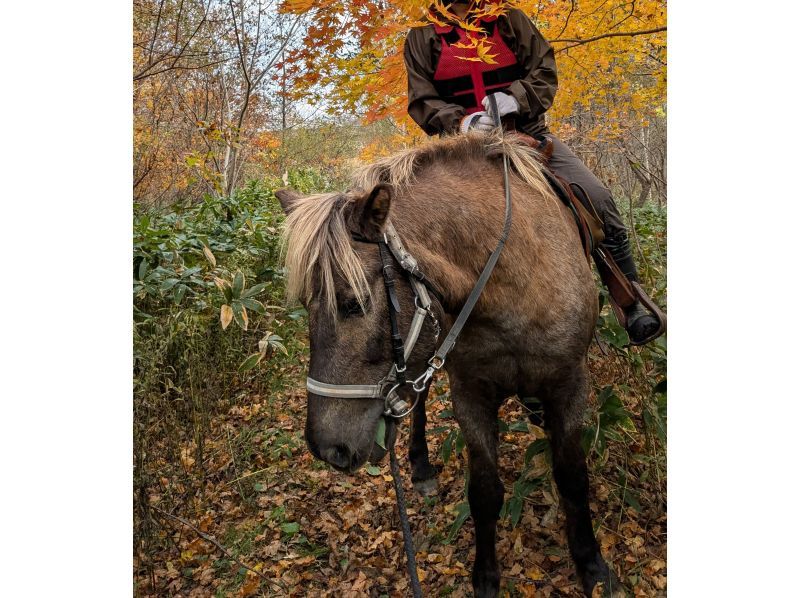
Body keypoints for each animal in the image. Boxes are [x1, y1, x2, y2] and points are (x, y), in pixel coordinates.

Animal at [276, 132, 620, 598]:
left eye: (354, 303)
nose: (326, 448)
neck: (512, 278)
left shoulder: (569, 385)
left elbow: (571, 477)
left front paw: (591, 565)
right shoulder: (470, 392)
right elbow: (485, 492)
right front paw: (486, 576)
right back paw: (420, 465)